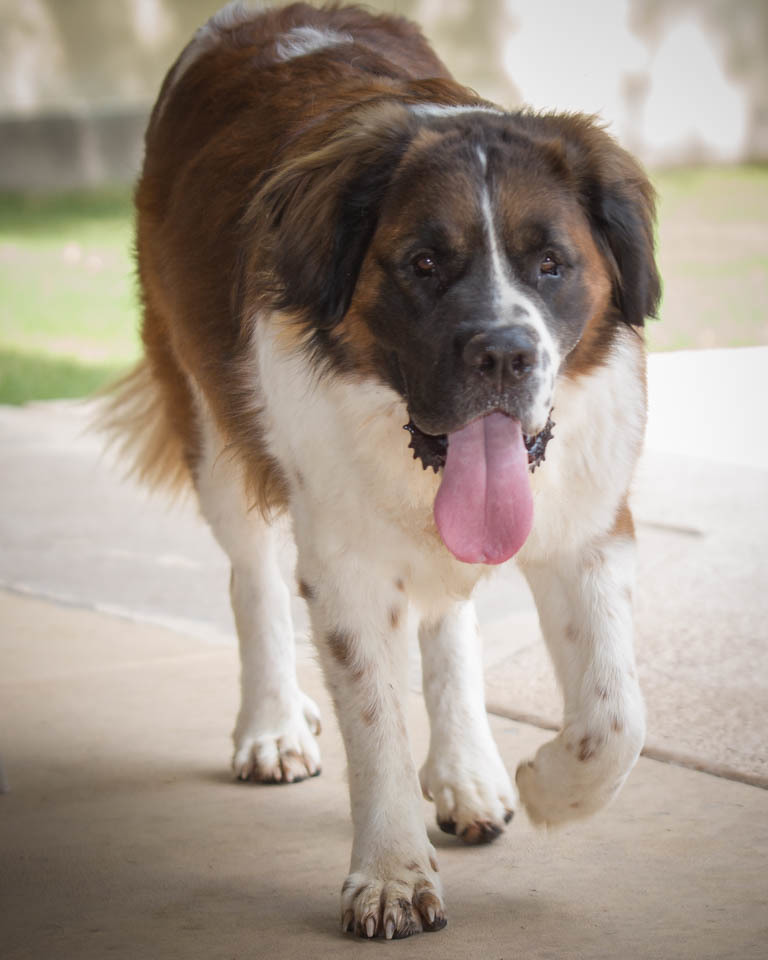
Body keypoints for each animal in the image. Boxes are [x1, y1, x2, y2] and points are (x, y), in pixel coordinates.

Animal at [103, 0, 660, 940]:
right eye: (424, 264)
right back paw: (271, 724)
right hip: (211, 423)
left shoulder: (588, 527)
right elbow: (374, 722)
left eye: (551, 264)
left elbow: (615, 717)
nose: (504, 355)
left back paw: (468, 767)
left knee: (451, 617)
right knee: (251, 574)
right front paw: (393, 874)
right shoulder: (346, 564)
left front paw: (548, 786)